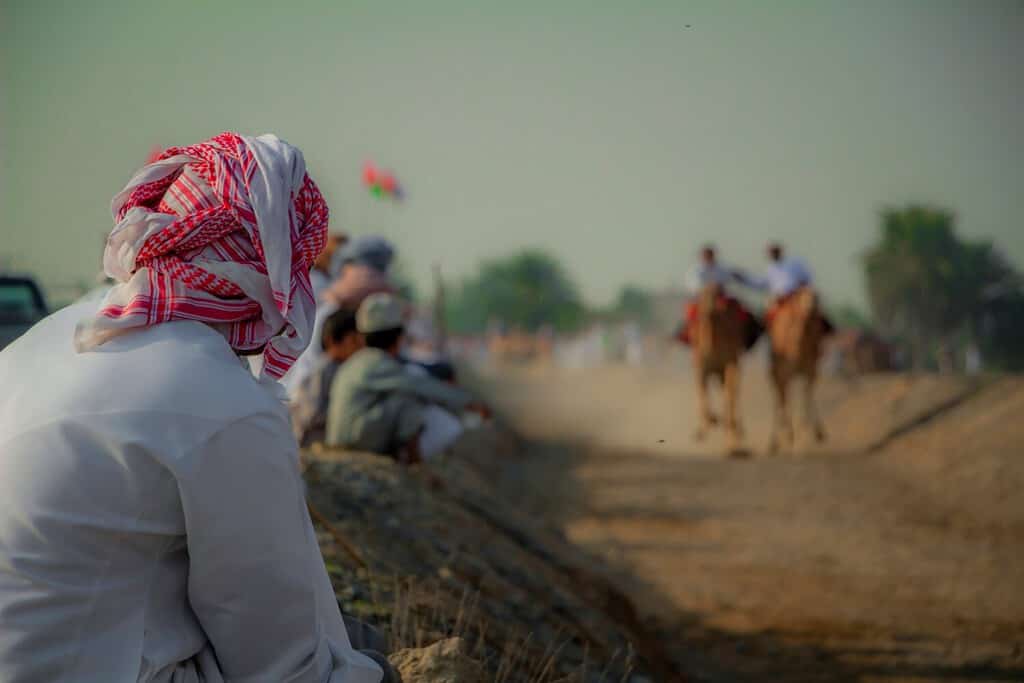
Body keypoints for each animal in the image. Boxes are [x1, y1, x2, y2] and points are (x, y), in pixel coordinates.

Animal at [692, 282, 749, 454]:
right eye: (702, 295)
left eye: (717, 293)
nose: (709, 308)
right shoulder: (701, 366)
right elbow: (703, 393)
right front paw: (709, 423)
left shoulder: (730, 362)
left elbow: (729, 395)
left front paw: (733, 445)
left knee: (732, 392)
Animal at [770, 286, 831, 450]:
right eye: (801, 295)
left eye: (816, 295)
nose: (811, 305)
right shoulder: (786, 373)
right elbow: (789, 401)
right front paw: (791, 435)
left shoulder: (810, 370)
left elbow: (807, 396)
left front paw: (814, 432)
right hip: (777, 374)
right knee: (779, 398)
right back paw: (775, 441)